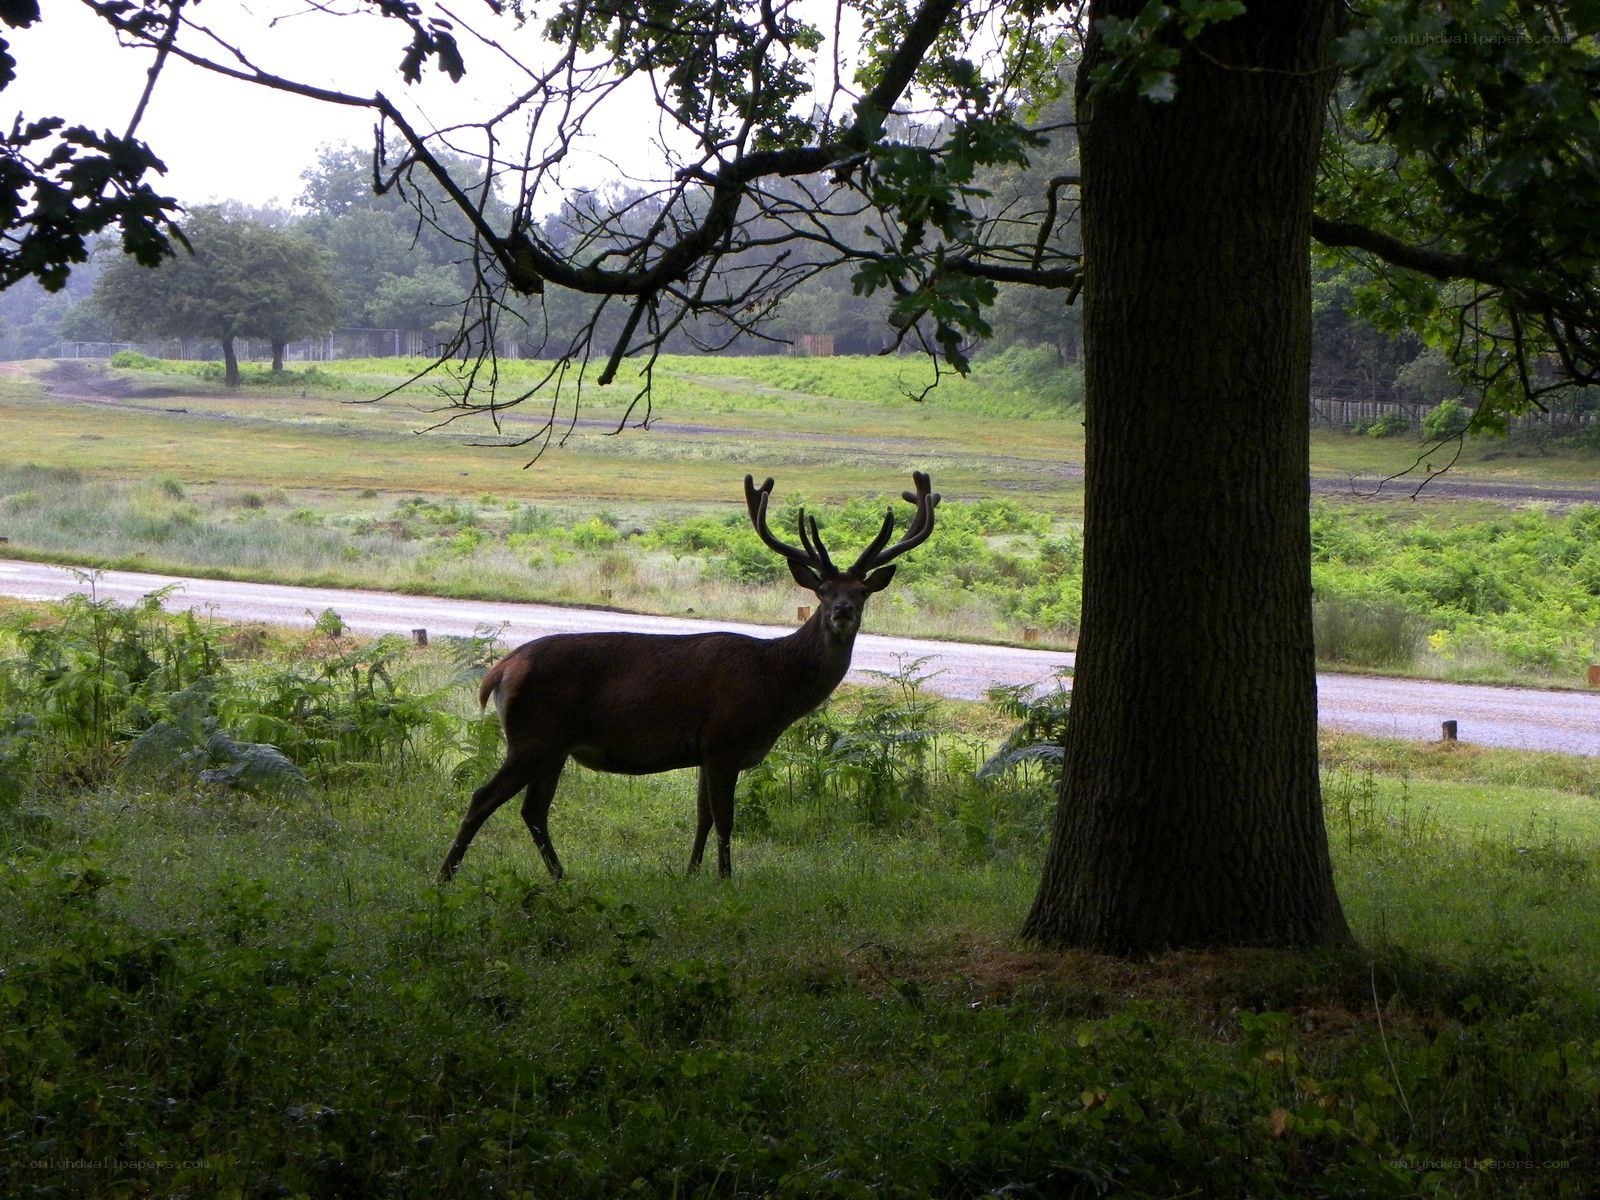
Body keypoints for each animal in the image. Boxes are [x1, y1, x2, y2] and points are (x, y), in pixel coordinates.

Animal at [438, 471, 939, 882]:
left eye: (861, 592)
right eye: (822, 590)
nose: (842, 612)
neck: (774, 685)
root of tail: (500, 670)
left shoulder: (704, 748)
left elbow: (703, 817)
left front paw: (691, 873)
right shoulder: (724, 739)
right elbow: (725, 819)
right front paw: (724, 878)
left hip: (552, 746)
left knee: (533, 810)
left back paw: (560, 876)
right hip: (533, 736)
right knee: (484, 798)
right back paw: (446, 875)